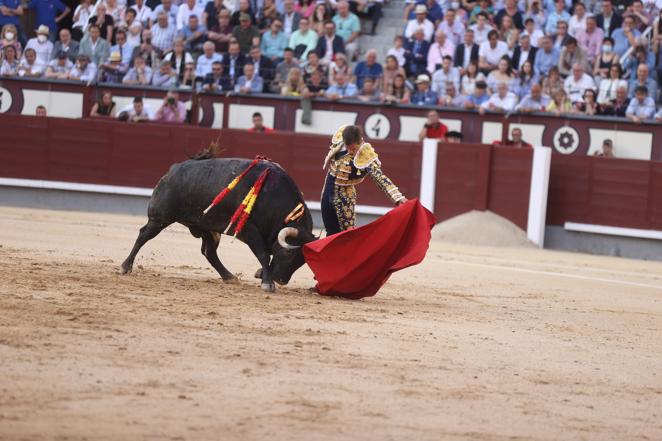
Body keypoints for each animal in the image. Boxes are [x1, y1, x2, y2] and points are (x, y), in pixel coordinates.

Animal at [121, 155, 316, 292]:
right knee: (143, 235)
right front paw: (267, 284)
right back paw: (125, 267)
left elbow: (266, 257)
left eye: (302, 260)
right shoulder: (249, 230)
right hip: (160, 218)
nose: (281, 280)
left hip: (207, 228)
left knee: (209, 252)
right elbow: (263, 255)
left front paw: (262, 276)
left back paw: (228, 276)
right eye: (289, 253)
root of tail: (171, 171)